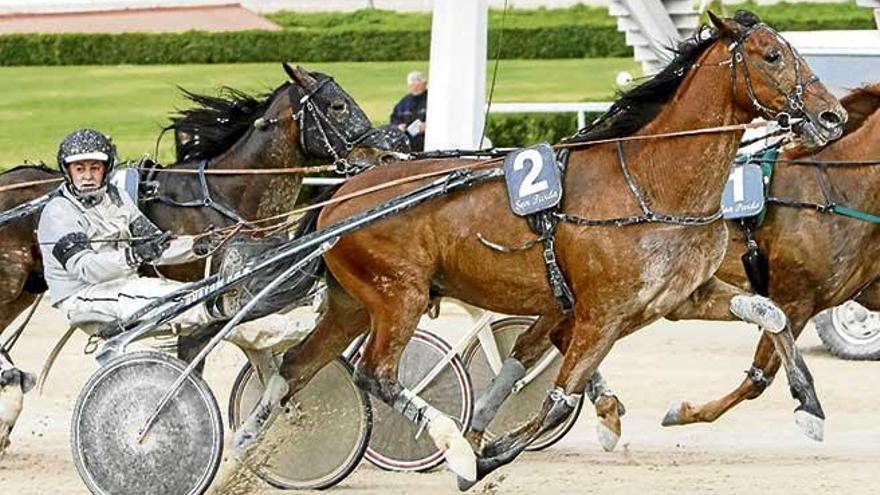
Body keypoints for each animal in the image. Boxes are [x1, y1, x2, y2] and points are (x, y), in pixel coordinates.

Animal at [234, 12, 844, 492]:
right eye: (771, 56)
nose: (832, 116)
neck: (650, 182)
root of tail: (341, 195)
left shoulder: (678, 298)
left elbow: (770, 312)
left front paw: (810, 407)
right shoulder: (600, 313)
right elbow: (557, 398)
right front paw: (484, 456)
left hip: (353, 302)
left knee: (296, 365)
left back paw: (241, 449)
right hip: (398, 295)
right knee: (375, 374)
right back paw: (454, 447)